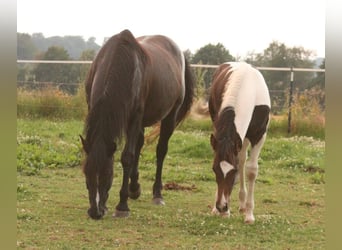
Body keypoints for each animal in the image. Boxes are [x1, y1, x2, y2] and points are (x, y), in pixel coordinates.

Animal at [79, 29, 194, 219]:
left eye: (107, 175)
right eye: (86, 172)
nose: (95, 212)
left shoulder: (134, 118)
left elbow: (127, 157)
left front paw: (122, 206)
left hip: (169, 116)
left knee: (161, 151)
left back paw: (157, 194)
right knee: (139, 144)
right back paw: (134, 188)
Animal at [208, 61, 270, 224]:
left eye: (233, 171)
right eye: (214, 169)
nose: (222, 206)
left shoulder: (259, 135)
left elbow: (251, 171)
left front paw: (249, 215)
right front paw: (222, 211)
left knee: (242, 160)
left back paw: (242, 205)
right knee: (241, 158)